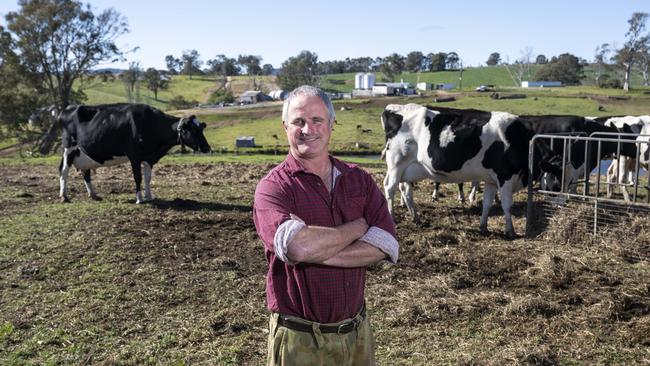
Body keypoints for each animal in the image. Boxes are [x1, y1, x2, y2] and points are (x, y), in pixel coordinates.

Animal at [57, 103, 210, 203]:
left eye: (201, 129)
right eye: (193, 130)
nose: (207, 148)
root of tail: (67, 109)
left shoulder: (149, 157)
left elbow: (148, 177)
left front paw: (149, 196)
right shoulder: (134, 156)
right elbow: (138, 177)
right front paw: (139, 199)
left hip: (84, 153)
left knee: (86, 173)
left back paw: (94, 195)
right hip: (68, 146)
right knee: (64, 170)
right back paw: (64, 197)